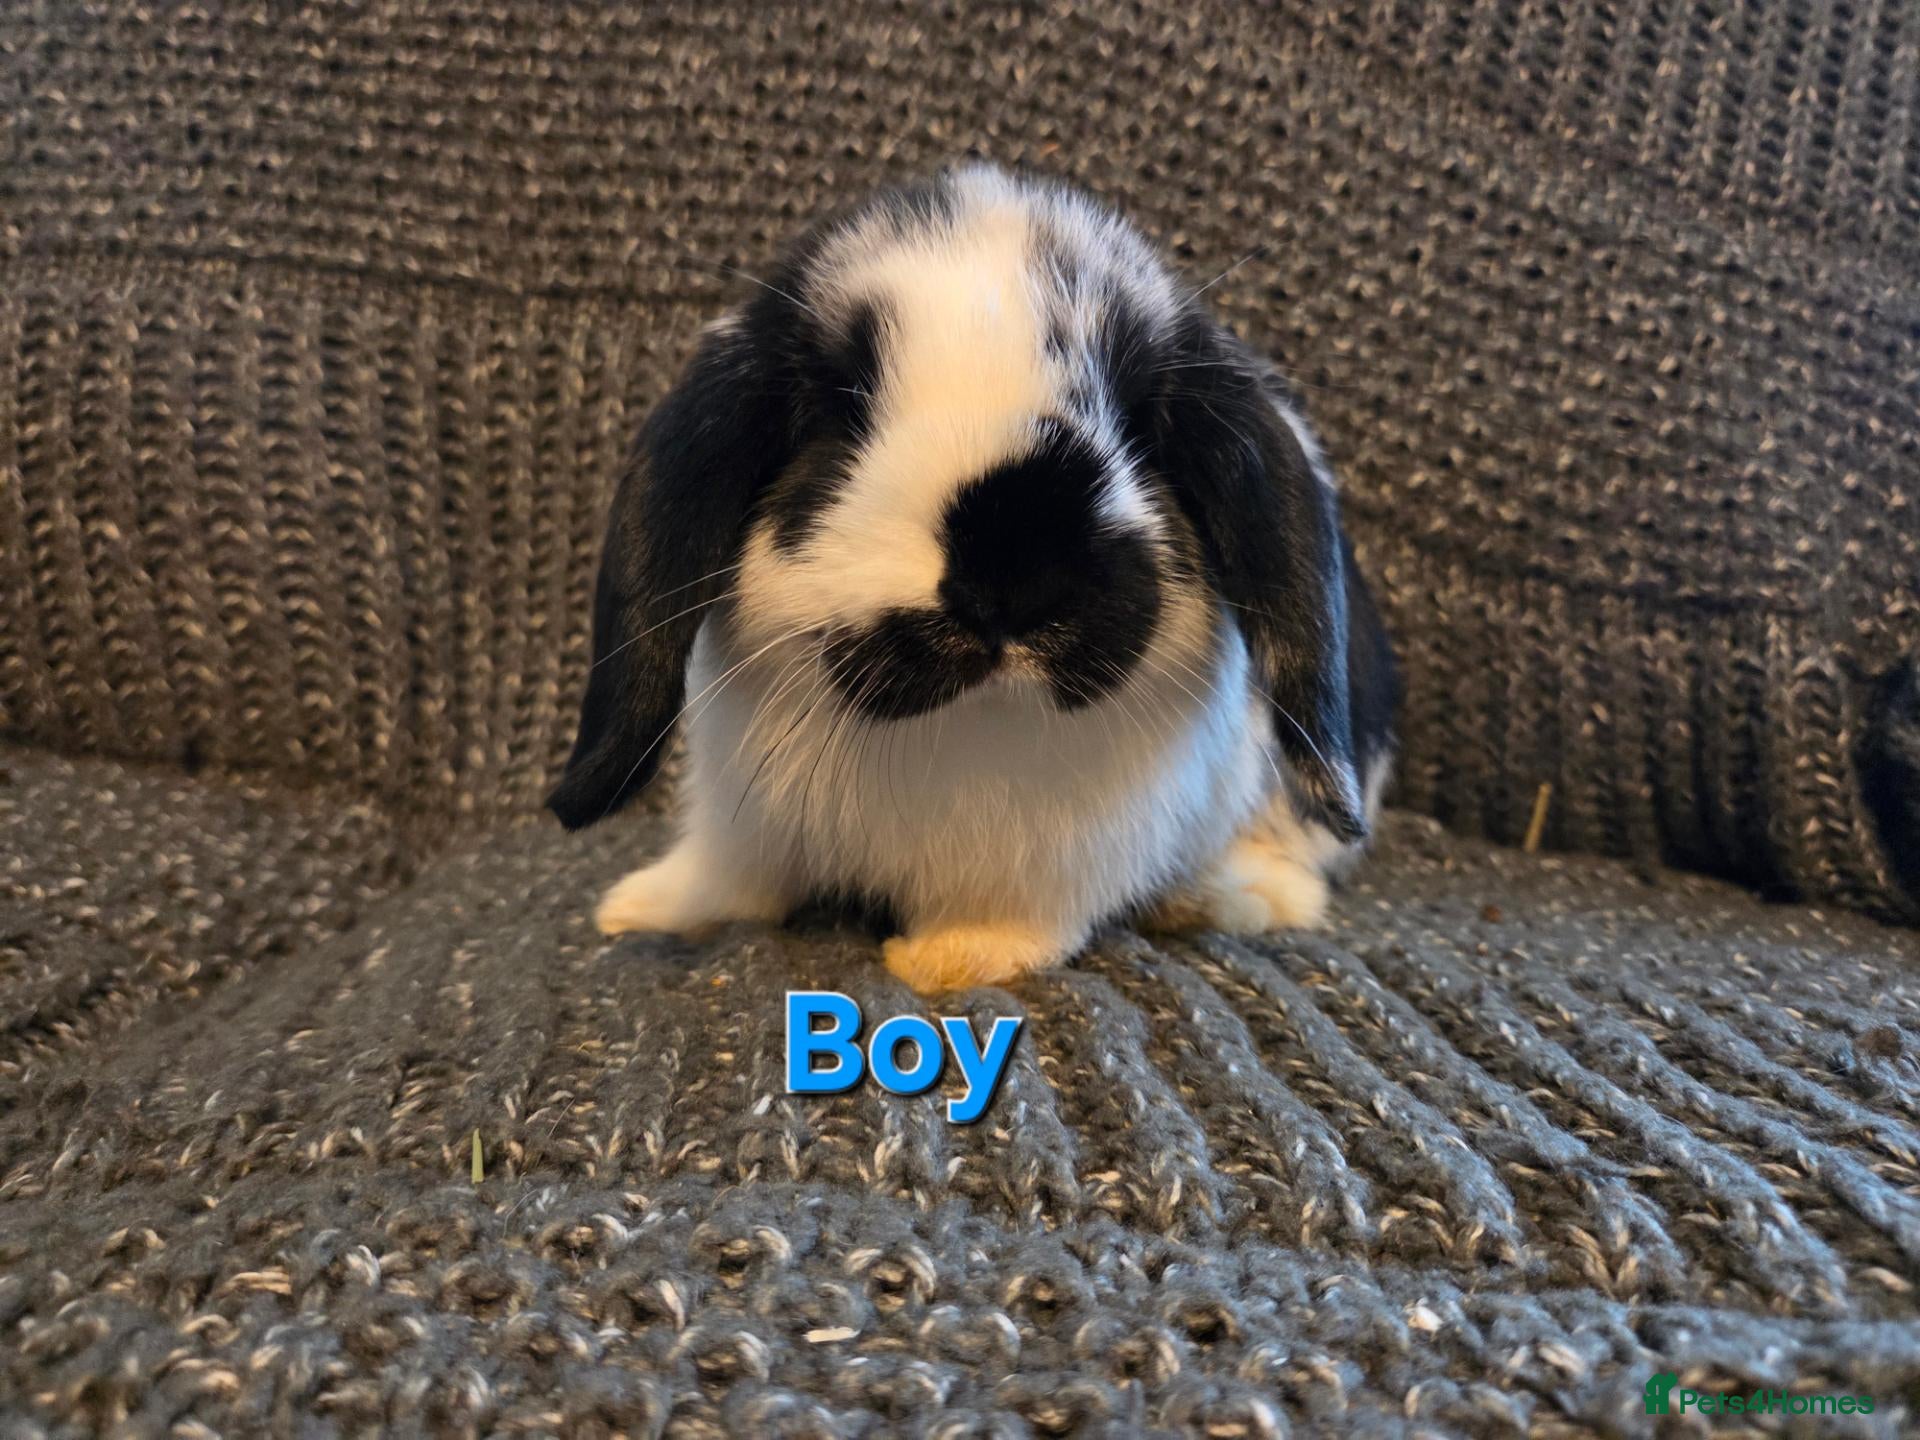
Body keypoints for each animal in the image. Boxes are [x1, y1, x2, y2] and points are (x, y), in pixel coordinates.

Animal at [549, 163, 1397, 994]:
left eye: (1137, 425)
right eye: (842, 410)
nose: (1010, 568)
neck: (963, 726)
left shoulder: (1062, 865)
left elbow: (1019, 922)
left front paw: (947, 960)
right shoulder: (741, 821)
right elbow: (732, 882)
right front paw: (640, 910)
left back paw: (1227, 897)